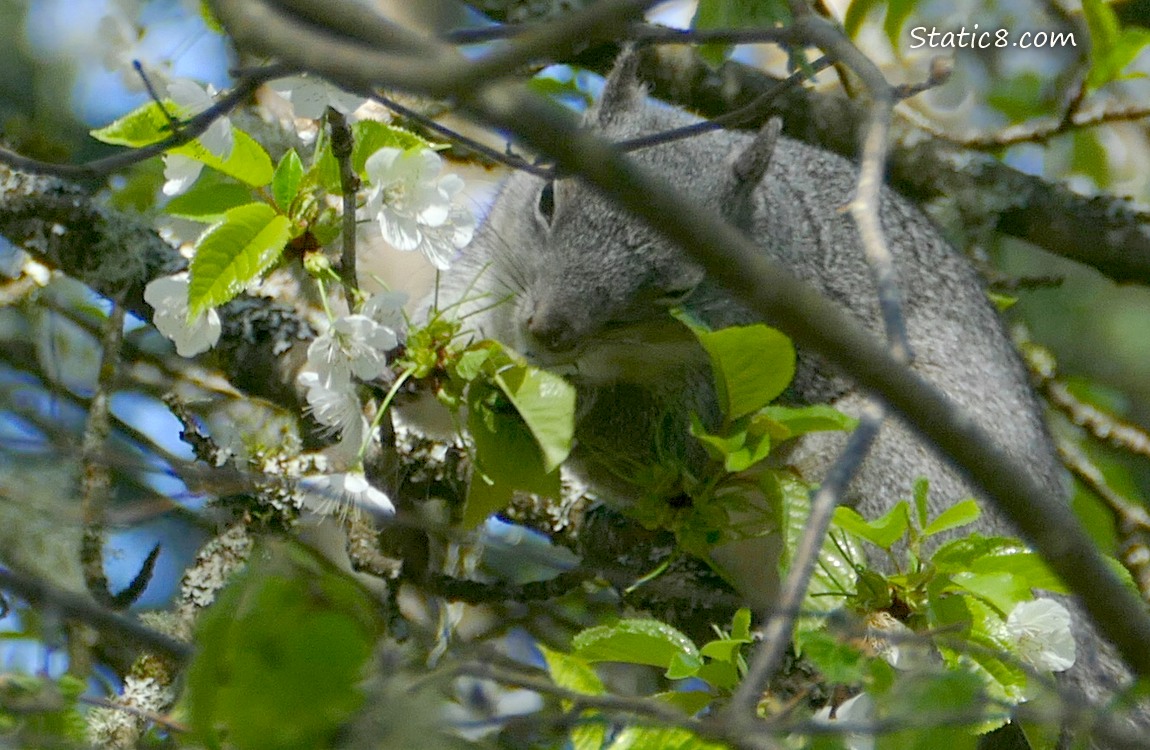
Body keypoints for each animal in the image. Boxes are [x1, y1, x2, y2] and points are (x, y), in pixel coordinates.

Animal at [427, 51, 1142, 744]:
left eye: (678, 288)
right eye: (547, 195)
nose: (547, 330)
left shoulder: (734, 390)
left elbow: (658, 449)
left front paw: (558, 405)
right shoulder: (483, 281)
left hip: (891, 482)